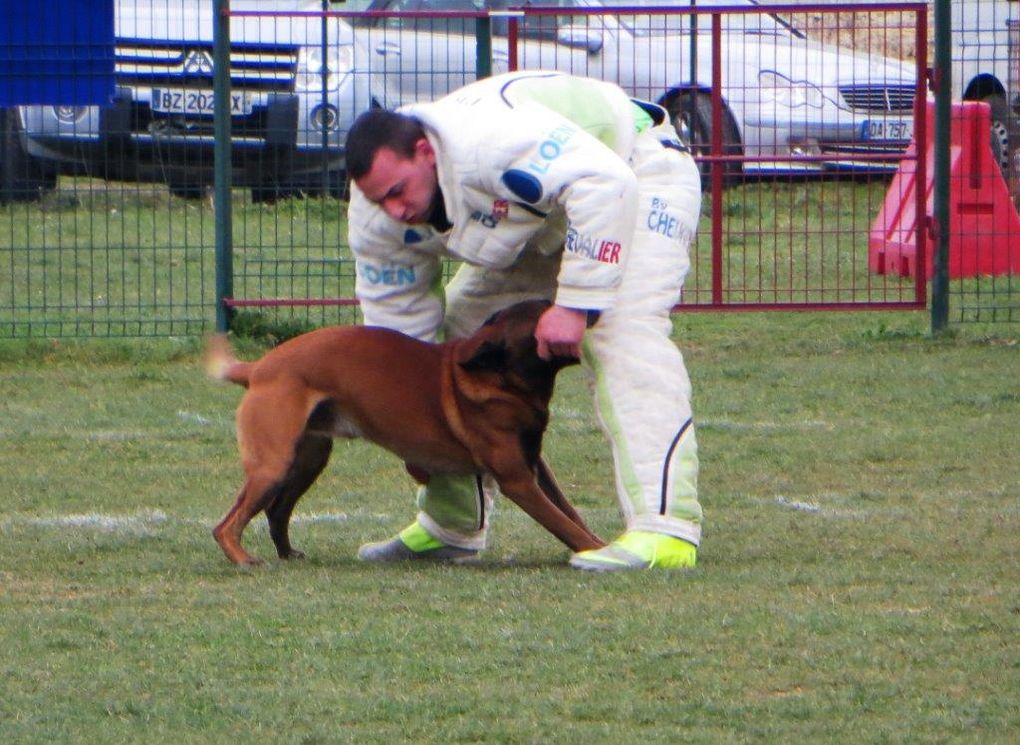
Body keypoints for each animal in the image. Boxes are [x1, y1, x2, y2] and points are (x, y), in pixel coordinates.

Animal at [207, 298, 603, 563]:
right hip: (273, 465)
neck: (499, 378)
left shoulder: (536, 468)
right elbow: (563, 523)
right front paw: (599, 551)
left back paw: (287, 553)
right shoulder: (518, 480)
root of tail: (258, 368)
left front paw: (601, 544)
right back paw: (244, 559)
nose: (593, 310)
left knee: (276, 512)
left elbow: (571, 513)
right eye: (547, 314)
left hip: (307, 461)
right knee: (226, 525)